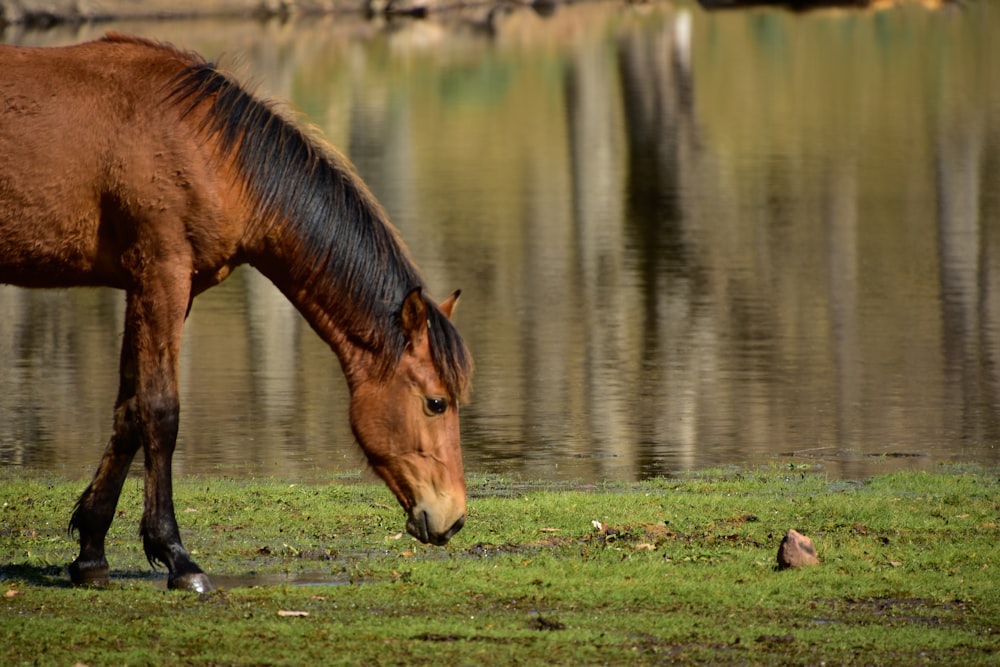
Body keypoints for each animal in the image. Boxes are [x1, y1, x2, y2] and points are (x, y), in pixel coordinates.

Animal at [0, 34, 472, 592]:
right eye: (436, 403)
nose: (454, 517)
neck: (209, 149)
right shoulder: (161, 275)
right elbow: (160, 412)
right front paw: (178, 558)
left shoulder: (155, 290)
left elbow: (128, 412)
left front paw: (91, 554)